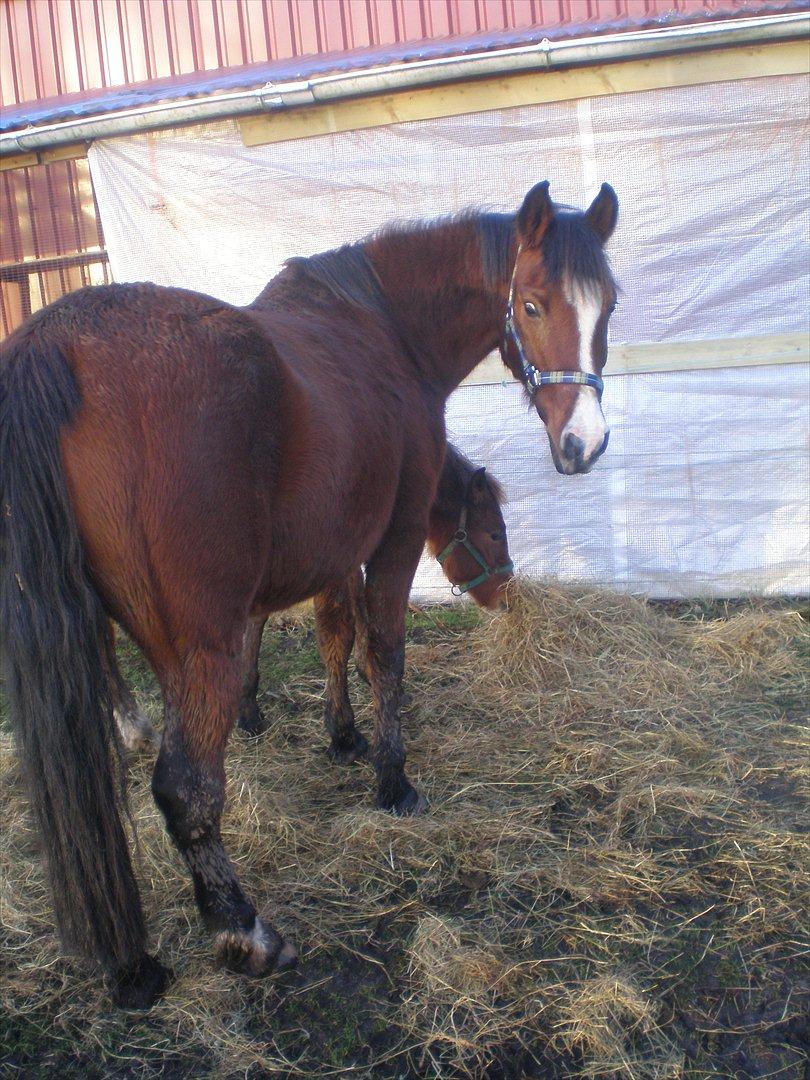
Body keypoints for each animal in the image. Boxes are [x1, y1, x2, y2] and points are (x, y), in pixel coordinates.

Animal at [0, 181, 617, 1006]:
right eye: (532, 304)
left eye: (608, 304)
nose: (585, 442)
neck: (383, 327)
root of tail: (53, 344)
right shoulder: (389, 539)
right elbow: (380, 649)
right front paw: (392, 778)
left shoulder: (332, 552)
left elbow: (333, 636)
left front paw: (341, 734)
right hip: (198, 650)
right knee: (185, 789)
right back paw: (243, 930)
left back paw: (133, 965)